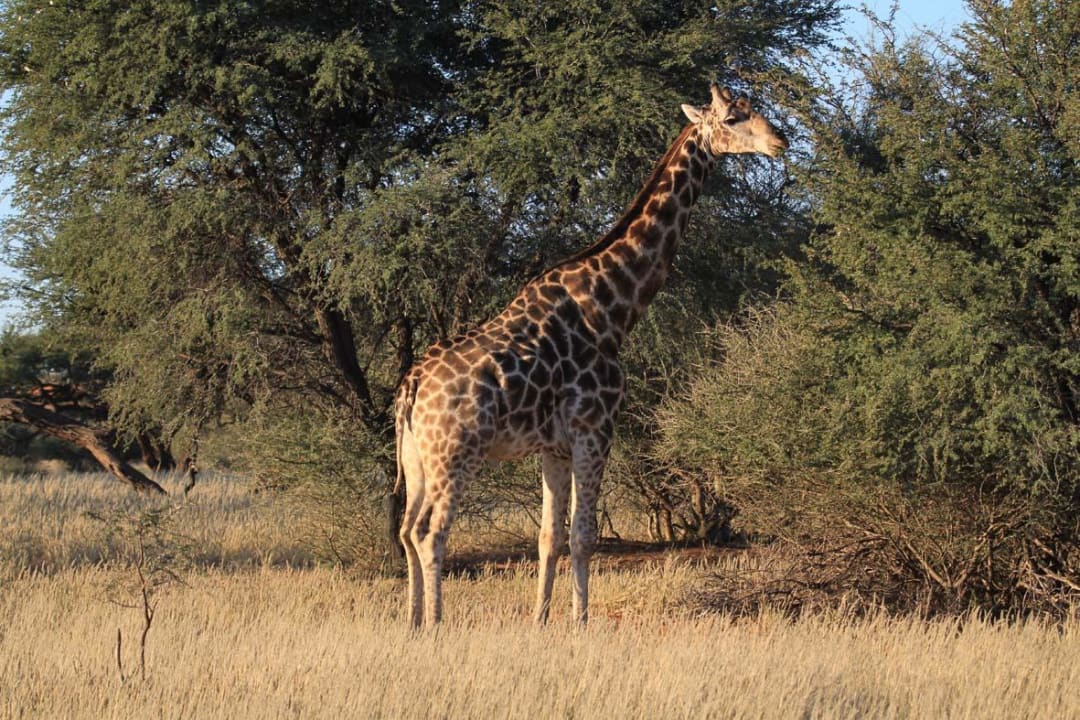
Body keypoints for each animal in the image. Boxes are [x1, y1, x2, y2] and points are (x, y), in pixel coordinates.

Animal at [395, 83, 788, 628]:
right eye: (732, 118)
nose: (780, 142)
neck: (612, 305)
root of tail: (410, 387)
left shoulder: (554, 446)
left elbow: (549, 538)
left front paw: (540, 620)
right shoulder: (596, 430)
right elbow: (583, 537)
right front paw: (581, 622)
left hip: (415, 459)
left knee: (406, 530)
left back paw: (411, 622)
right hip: (456, 454)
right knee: (431, 533)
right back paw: (435, 624)